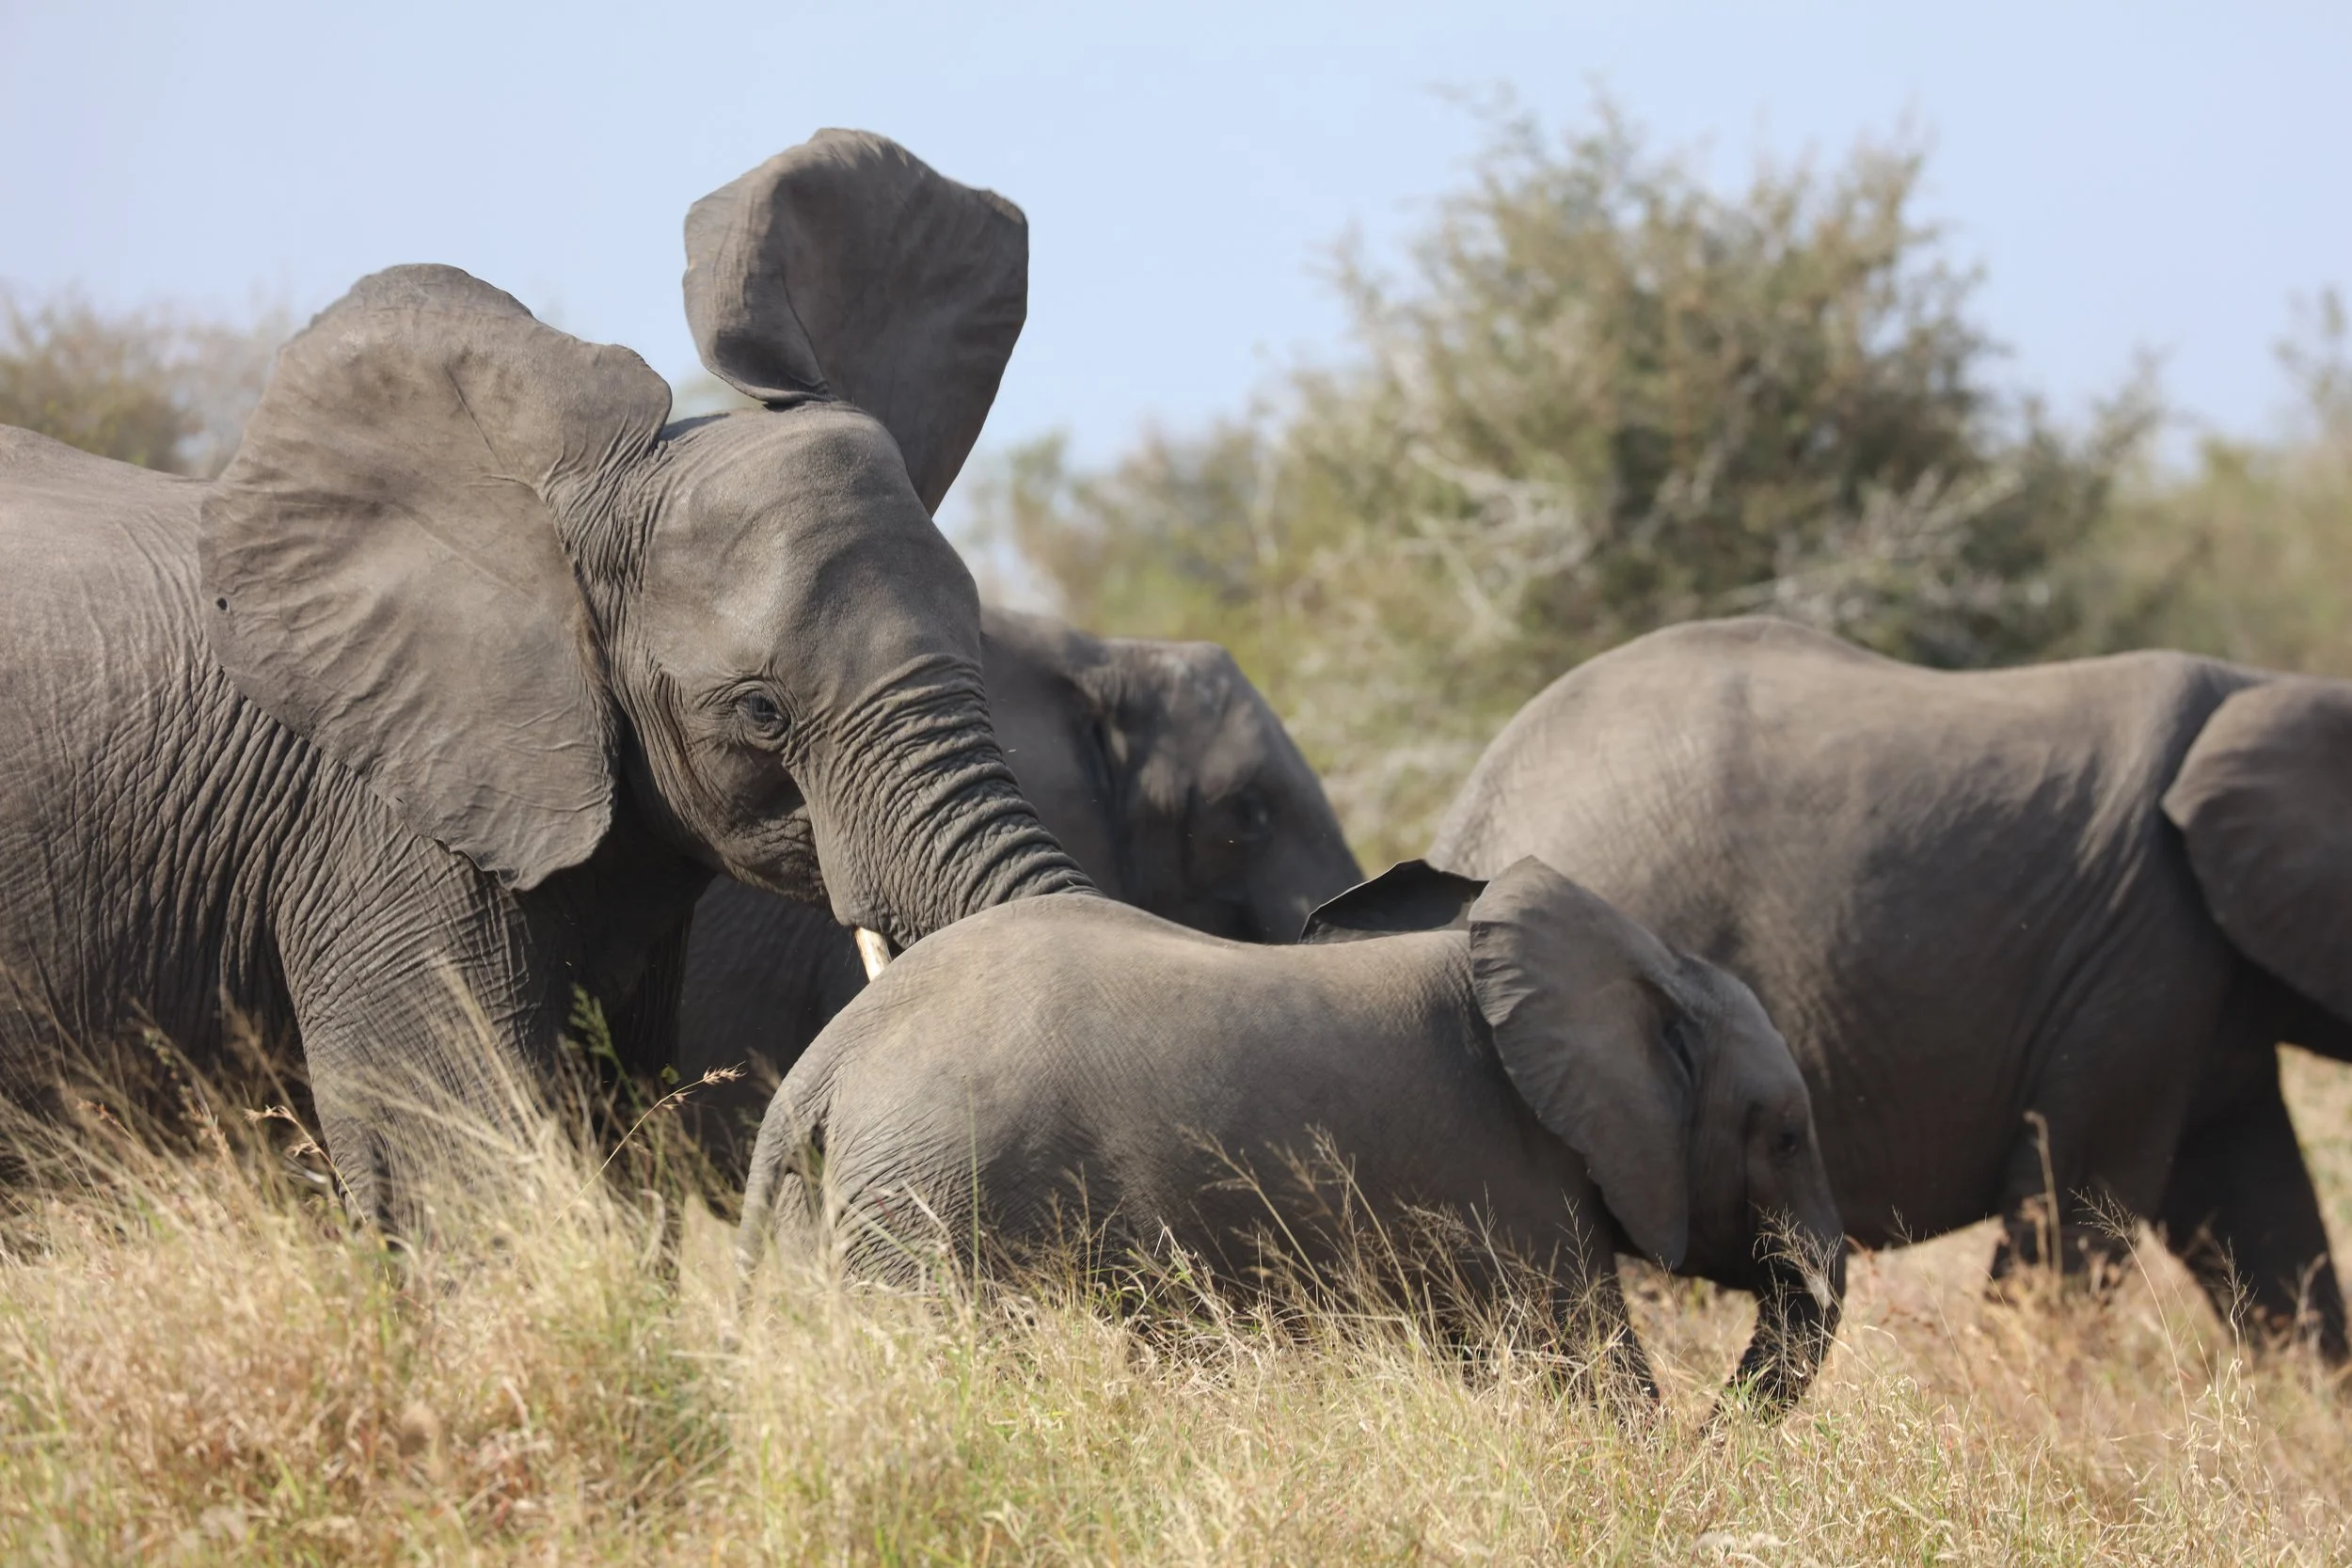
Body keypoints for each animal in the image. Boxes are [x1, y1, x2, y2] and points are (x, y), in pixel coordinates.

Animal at [738, 858, 1847, 1416]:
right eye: (1788, 1135)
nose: (1717, 1430)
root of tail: (827, 1059)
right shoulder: (1511, 1168)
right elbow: (1584, 1369)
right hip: (928, 1197)